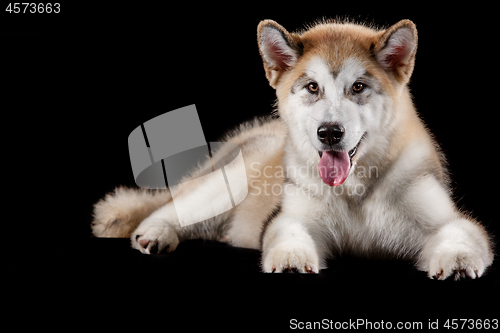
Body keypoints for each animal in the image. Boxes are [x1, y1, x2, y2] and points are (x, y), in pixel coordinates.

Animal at [92, 18, 494, 278]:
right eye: (313, 87)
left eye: (358, 87)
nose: (329, 133)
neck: (355, 194)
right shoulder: (291, 217)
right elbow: (290, 234)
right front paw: (290, 260)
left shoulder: (448, 220)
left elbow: (458, 234)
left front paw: (457, 261)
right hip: (222, 188)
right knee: (172, 208)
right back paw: (156, 233)